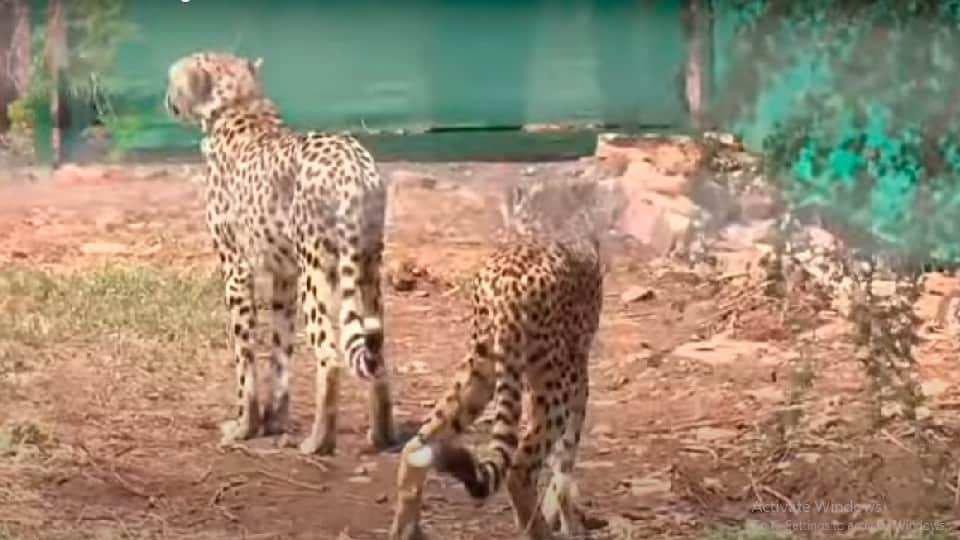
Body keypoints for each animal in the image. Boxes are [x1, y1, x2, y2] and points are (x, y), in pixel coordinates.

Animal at [164, 51, 403, 455]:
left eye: (174, 80)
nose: (167, 100)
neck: (239, 106)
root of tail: (354, 164)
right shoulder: (284, 275)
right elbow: (279, 350)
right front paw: (274, 421)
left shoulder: (237, 269)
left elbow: (245, 356)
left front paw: (245, 426)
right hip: (368, 266)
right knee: (377, 350)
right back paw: (382, 435)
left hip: (317, 272)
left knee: (330, 356)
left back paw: (318, 441)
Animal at [389, 176, 606, 540]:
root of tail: (504, 285)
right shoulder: (578, 375)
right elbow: (565, 459)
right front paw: (567, 517)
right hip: (555, 382)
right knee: (519, 470)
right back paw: (540, 531)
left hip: (480, 371)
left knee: (417, 447)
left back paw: (404, 529)